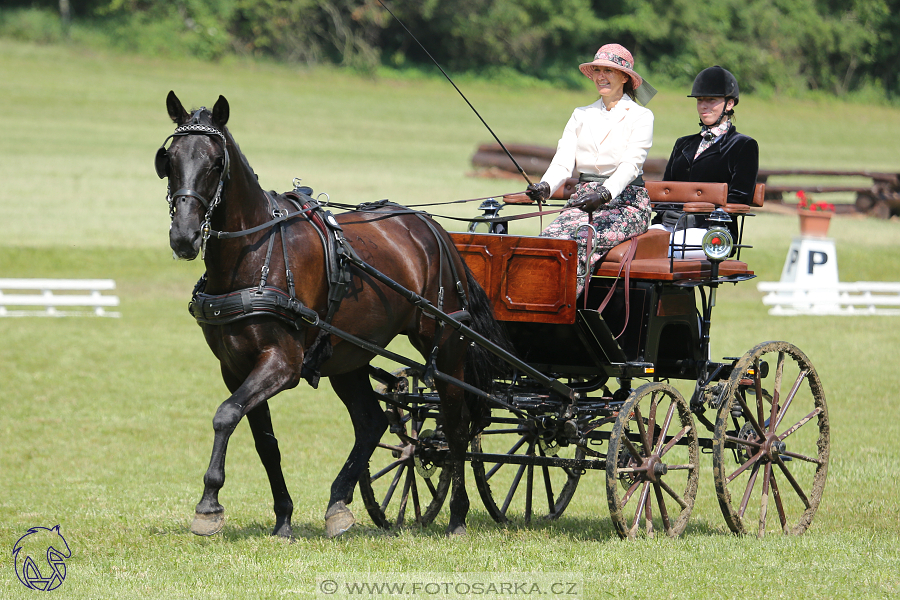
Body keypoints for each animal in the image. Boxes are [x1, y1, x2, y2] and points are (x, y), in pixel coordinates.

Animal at [160, 91, 506, 536]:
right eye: (169, 160)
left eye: (216, 162)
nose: (184, 237)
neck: (256, 251)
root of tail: (434, 229)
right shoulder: (234, 367)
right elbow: (262, 440)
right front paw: (283, 518)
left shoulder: (282, 363)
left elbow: (225, 415)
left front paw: (208, 505)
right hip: (347, 355)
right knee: (371, 422)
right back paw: (339, 504)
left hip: (445, 345)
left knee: (457, 423)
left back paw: (459, 515)